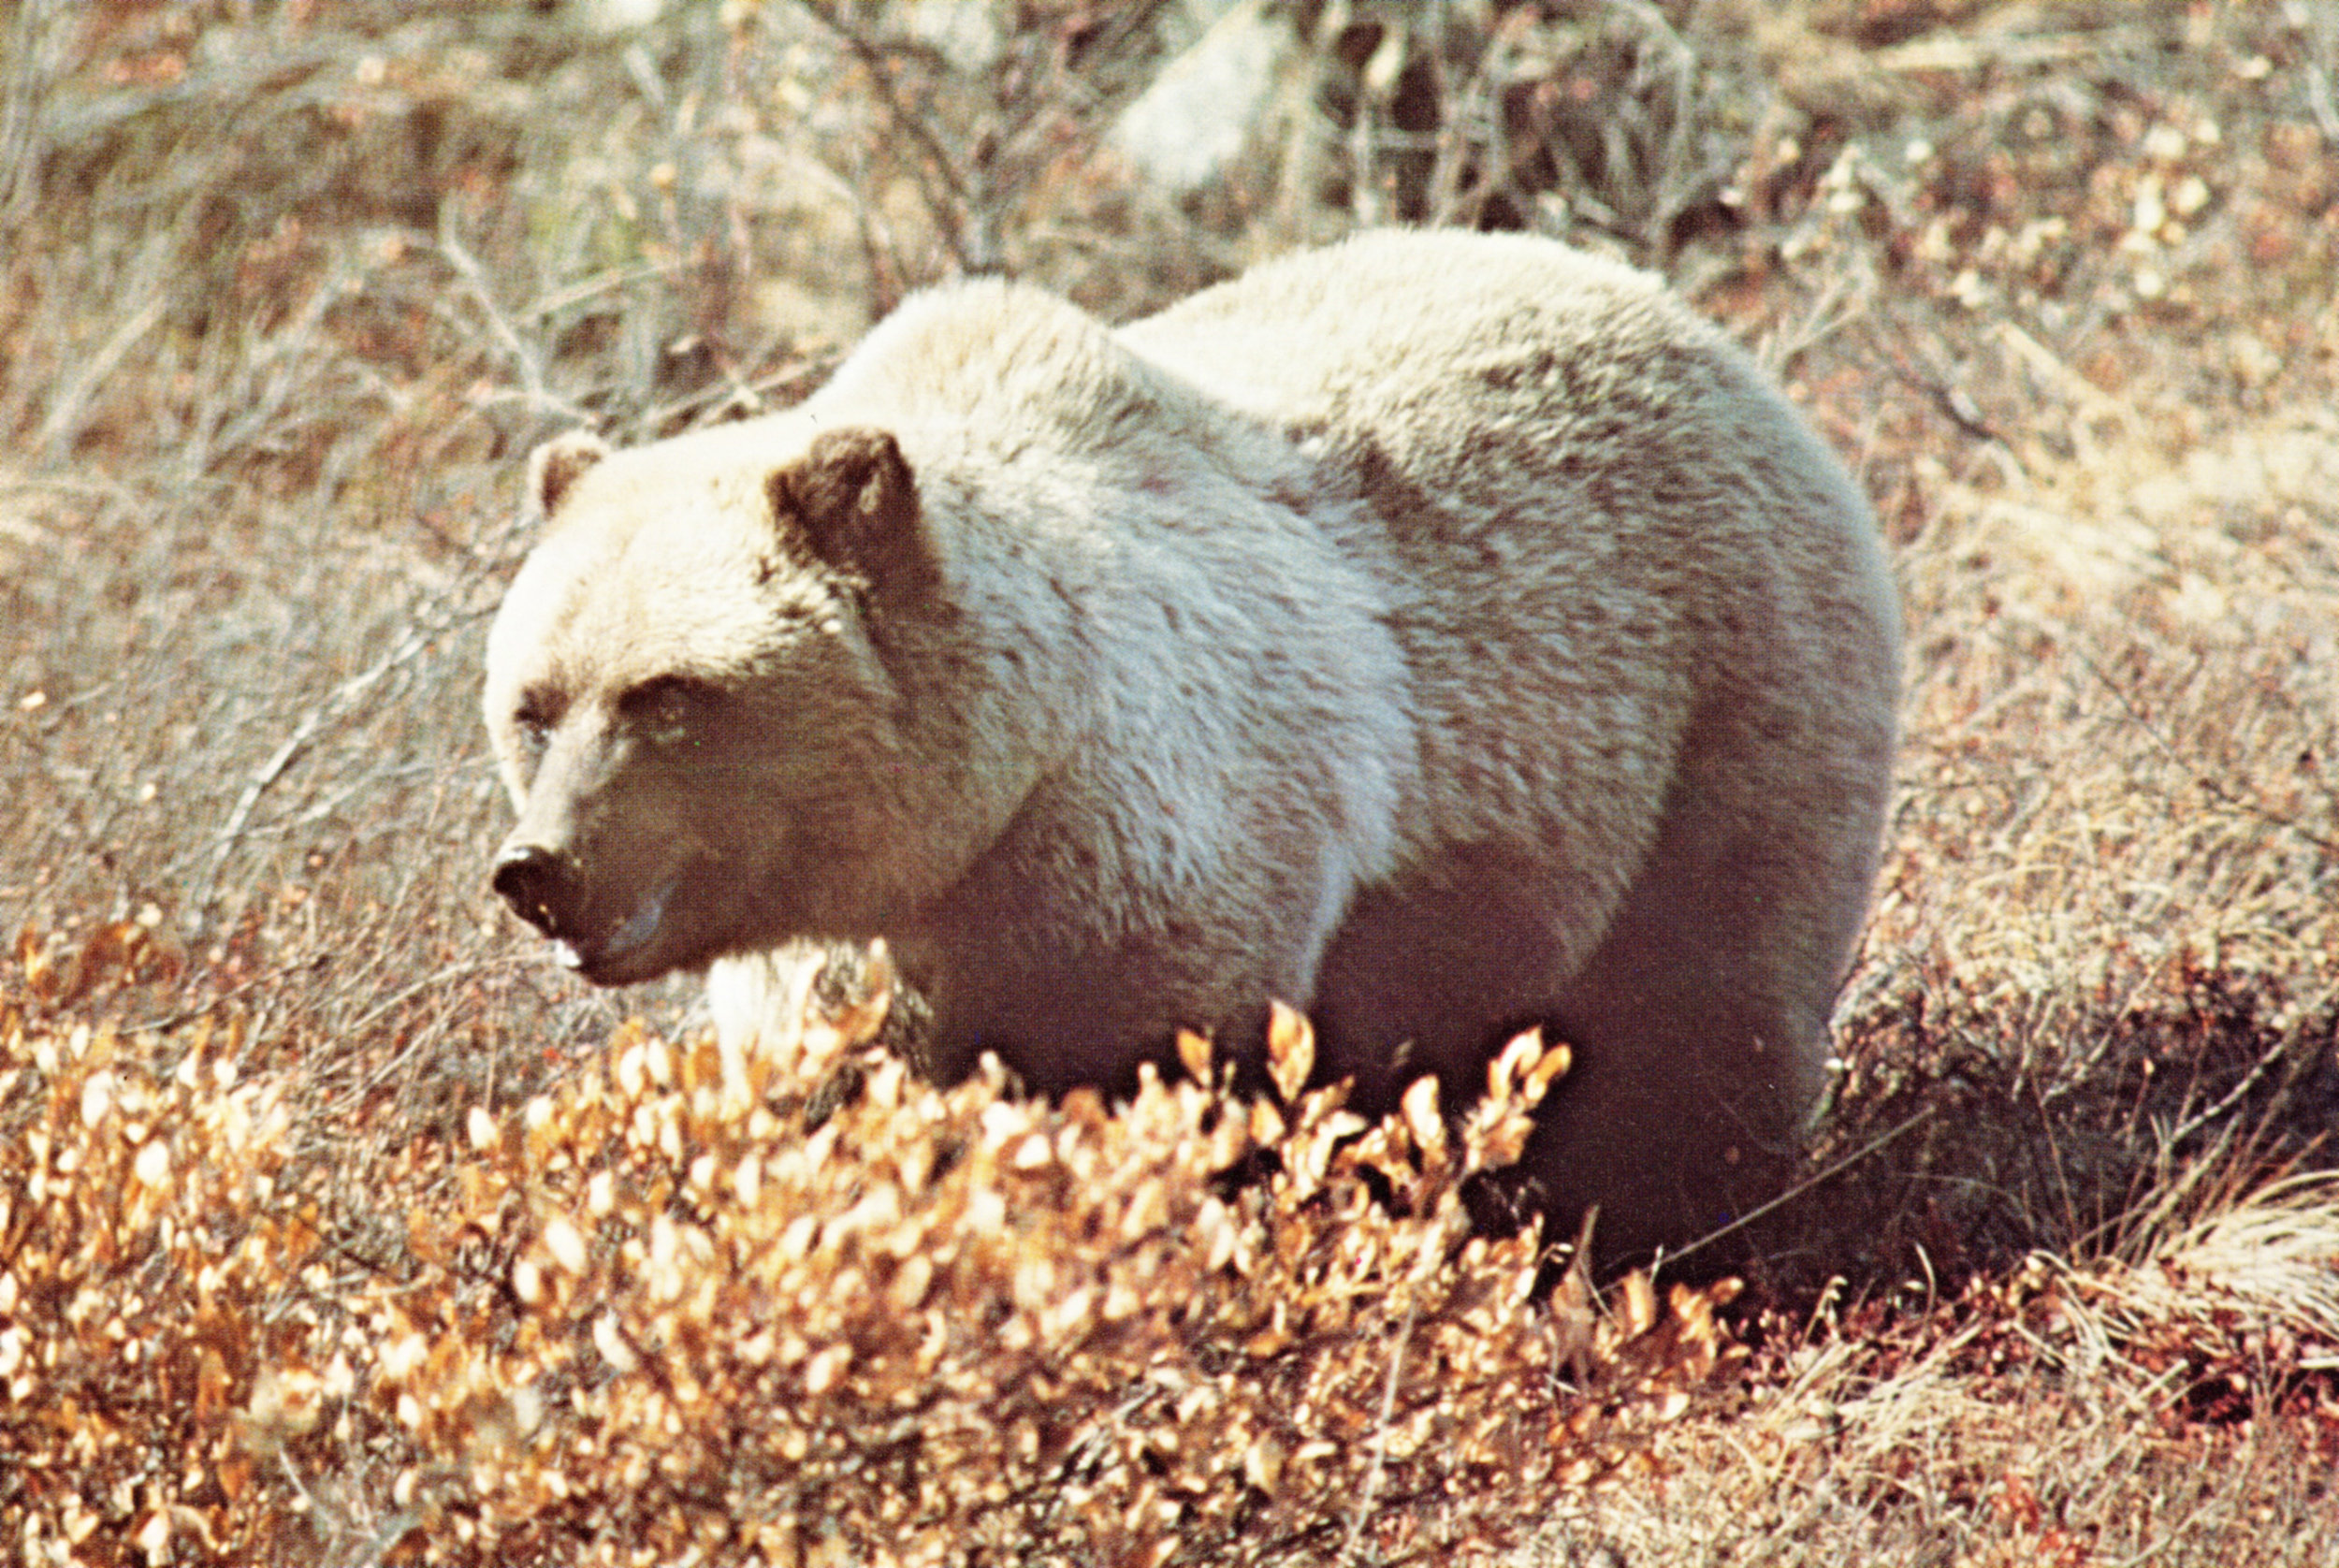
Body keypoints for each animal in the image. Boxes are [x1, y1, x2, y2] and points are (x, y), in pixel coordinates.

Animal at [479, 226, 1899, 1272]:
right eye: (533, 705)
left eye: (668, 697)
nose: (539, 869)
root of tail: (1692, 324)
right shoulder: (841, 973)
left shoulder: (1153, 865)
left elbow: (1153, 1089)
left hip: (1724, 700)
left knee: (1698, 1021)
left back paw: (1683, 1231)